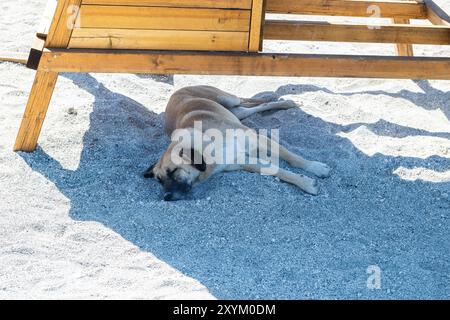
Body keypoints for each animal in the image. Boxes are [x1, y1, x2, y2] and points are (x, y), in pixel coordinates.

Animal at [144, 85, 330, 200]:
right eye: (159, 180)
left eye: (173, 171)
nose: (166, 197)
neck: (210, 149)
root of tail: (175, 92)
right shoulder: (243, 161)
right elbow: (278, 171)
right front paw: (305, 183)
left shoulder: (258, 138)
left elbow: (293, 158)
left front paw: (315, 167)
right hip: (235, 111)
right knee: (250, 109)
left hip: (227, 98)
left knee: (250, 100)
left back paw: (284, 101)